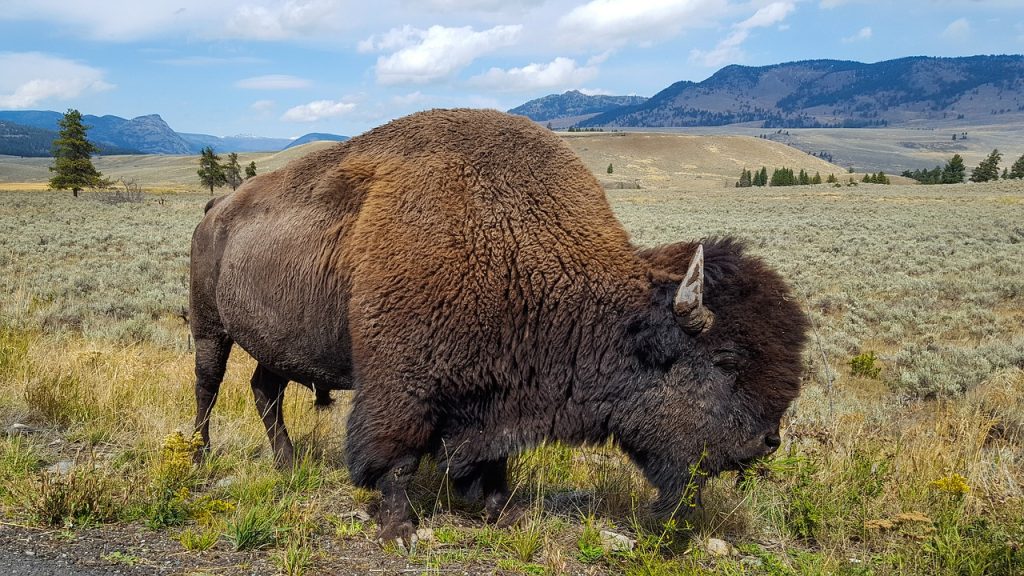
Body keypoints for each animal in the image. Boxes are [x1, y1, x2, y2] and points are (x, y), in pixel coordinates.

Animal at [190, 108, 806, 541]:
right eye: (725, 362)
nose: (766, 441)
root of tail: (217, 208)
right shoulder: (401, 386)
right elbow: (395, 456)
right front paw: (400, 528)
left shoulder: (498, 391)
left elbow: (490, 458)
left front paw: (502, 511)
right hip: (209, 326)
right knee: (209, 386)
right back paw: (198, 457)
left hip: (275, 344)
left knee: (264, 389)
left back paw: (288, 465)